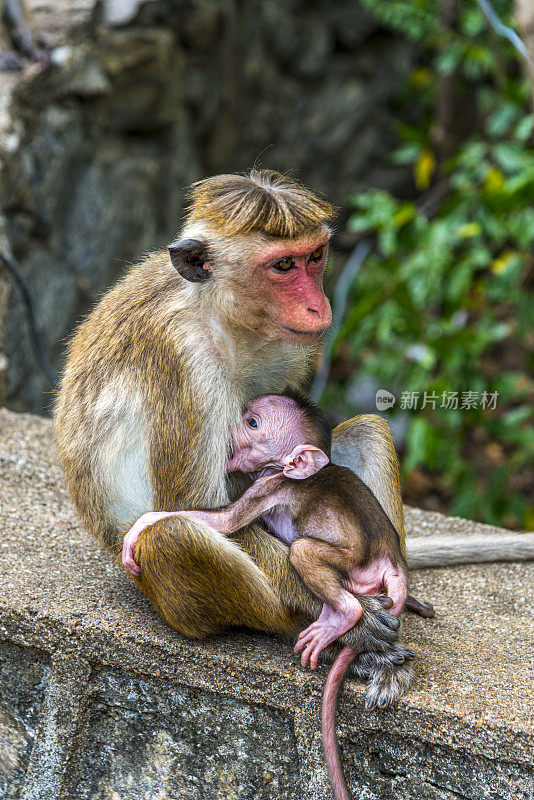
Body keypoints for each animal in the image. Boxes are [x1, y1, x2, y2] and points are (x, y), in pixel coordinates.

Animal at [123, 392, 434, 668]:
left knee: (302, 551)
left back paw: (346, 615)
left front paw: (142, 523)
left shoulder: (270, 486)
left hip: (356, 567)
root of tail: (394, 563)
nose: (228, 428)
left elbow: (227, 522)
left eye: (252, 423)